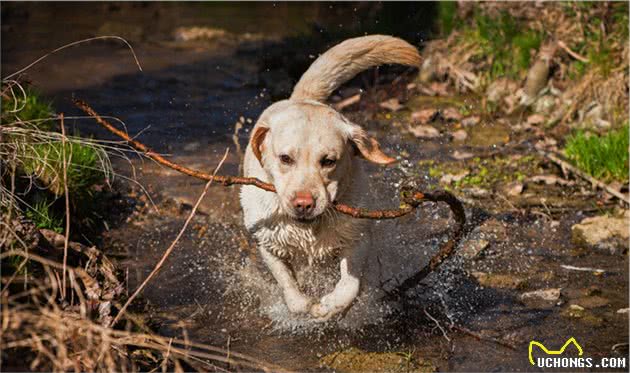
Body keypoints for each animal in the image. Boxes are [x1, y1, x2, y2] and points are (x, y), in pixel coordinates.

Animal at [239, 35, 422, 320]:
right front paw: (303, 305)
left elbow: (350, 284)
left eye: (328, 161)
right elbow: (287, 284)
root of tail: (301, 98)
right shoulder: (267, 243)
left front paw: (330, 306)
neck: (309, 229)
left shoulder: (358, 238)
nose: (303, 204)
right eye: (285, 158)